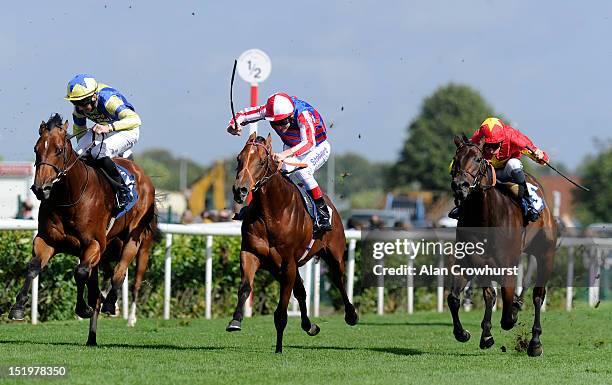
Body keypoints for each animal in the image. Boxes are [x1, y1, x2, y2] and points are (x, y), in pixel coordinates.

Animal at [8, 112, 157, 344]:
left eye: (59, 150)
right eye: (36, 149)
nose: (41, 188)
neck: (70, 196)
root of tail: (143, 176)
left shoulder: (92, 244)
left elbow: (80, 272)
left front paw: (82, 308)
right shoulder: (47, 240)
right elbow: (33, 267)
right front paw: (17, 307)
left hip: (133, 238)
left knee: (120, 271)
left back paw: (110, 304)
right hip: (108, 250)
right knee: (101, 284)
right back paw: (92, 337)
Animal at [226, 132, 358, 352]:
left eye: (262, 161)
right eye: (239, 159)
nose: (240, 190)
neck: (272, 213)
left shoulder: (288, 263)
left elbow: (281, 311)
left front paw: (279, 348)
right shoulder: (251, 254)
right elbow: (245, 287)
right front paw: (235, 320)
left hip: (334, 256)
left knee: (339, 281)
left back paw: (351, 315)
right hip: (280, 268)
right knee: (302, 291)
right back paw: (309, 325)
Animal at [448, 134, 556, 356]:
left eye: (478, 159)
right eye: (455, 159)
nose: (460, 186)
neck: (485, 216)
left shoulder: (507, 264)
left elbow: (506, 308)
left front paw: (511, 315)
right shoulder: (470, 261)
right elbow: (455, 298)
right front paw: (466, 334)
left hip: (546, 255)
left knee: (538, 296)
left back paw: (535, 342)